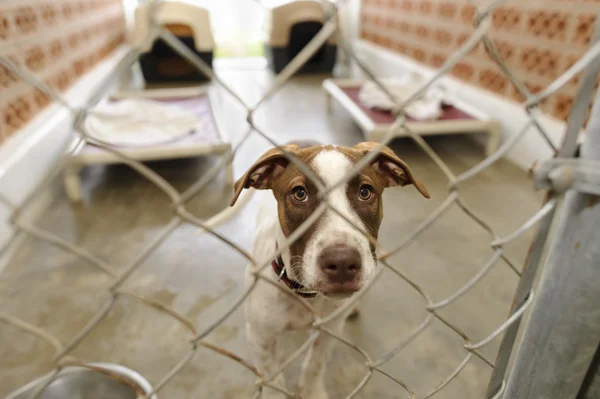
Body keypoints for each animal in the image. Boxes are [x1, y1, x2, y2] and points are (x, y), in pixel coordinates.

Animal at [231, 141, 432, 399]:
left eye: (365, 192)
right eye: (299, 194)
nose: (342, 263)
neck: (305, 295)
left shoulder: (329, 332)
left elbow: (314, 365)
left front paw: (311, 391)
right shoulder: (260, 336)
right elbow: (273, 377)